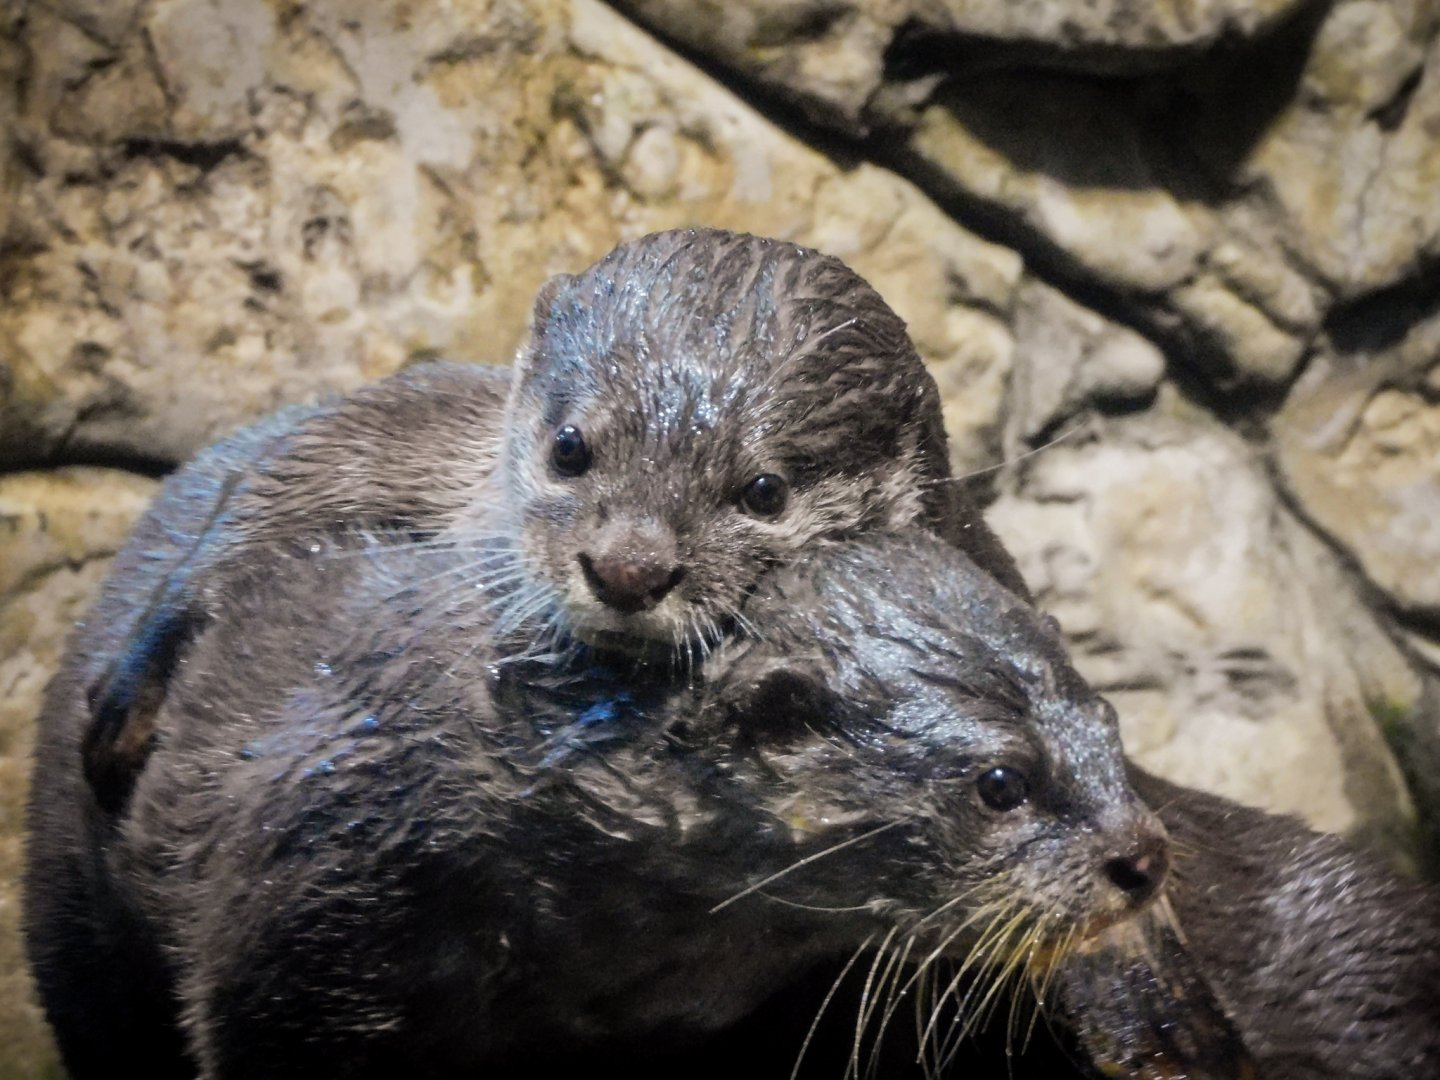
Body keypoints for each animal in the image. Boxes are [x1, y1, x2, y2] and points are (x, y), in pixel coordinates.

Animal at [77, 227, 1028, 814]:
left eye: (764, 491)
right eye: (571, 447)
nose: (627, 569)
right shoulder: (440, 445)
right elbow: (305, 467)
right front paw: (130, 691)